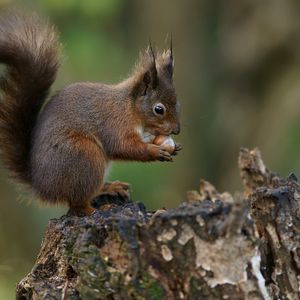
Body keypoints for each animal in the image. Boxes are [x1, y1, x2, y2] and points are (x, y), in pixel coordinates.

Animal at [0, 13, 182, 216]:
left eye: (178, 102)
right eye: (159, 109)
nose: (177, 130)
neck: (131, 108)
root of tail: (43, 187)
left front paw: (173, 146)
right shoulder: (115, 123)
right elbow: (125, 146)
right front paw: (155, 151)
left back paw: (110, 187)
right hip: (85, 156)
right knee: (77, 204)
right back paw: (97, 209)